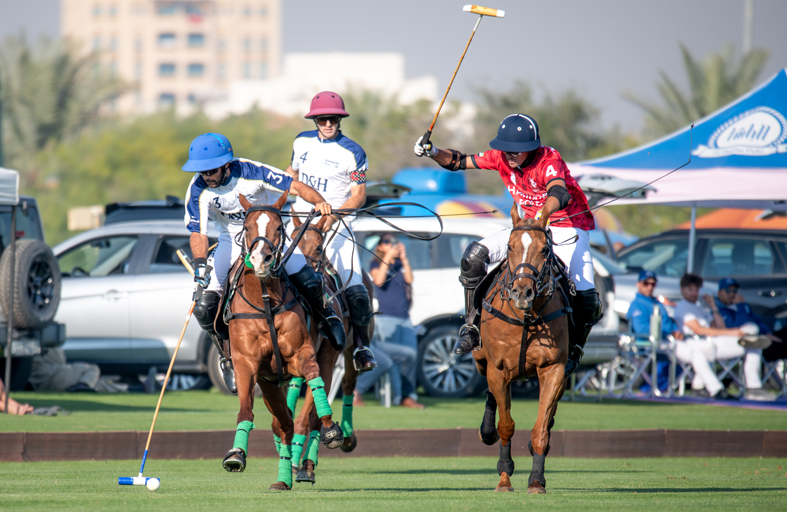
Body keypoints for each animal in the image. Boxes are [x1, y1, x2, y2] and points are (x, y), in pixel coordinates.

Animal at [220, 191, 344, 491]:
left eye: (278, 227)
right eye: (246, 227)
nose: (261, 260)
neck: (265, 300)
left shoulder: (303, 354)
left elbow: (312, 382)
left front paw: (331, 427)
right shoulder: (247, 364)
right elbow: (246, 411)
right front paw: (236, 454)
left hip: (326, 359)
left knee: (307, 417)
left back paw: (307, 461)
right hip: (269, 385)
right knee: (283, 424)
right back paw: (283, 478)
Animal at [284, 212, 373, 483]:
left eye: (318, 247)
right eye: (291, 244)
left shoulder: (326, 358)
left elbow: (310, 416)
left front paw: (306, 467)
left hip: (351, 349)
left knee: (348, 385)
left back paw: (348, 437)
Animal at [472, 205, 573, 494]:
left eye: (544, 249)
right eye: (509, 246)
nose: (522, 293)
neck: (527, 318)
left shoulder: (553, 369)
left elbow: (540, 429)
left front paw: (537, 481)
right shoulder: (498, 369)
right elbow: (506, 426)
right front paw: (504, 478)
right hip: (481, 359)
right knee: (490, 393)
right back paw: (486, 431)